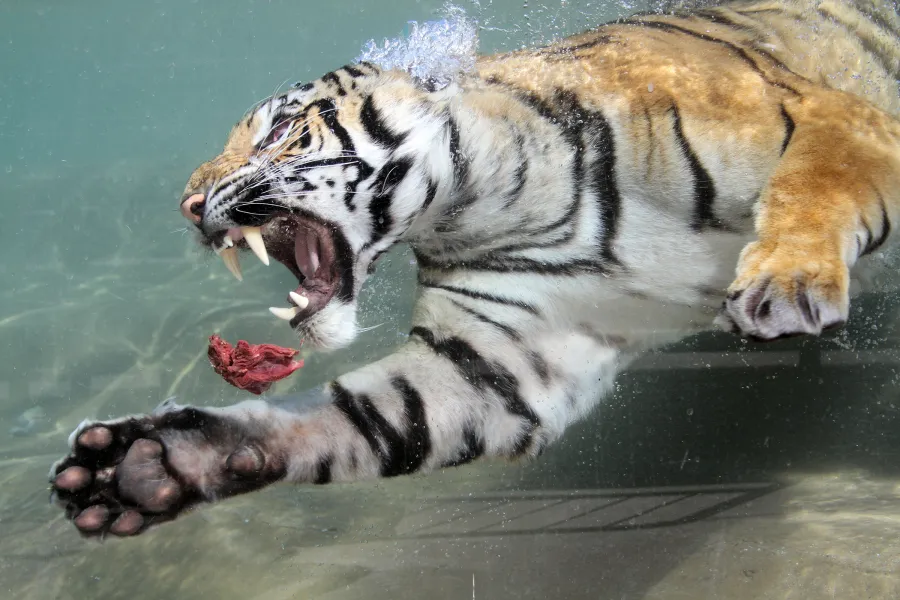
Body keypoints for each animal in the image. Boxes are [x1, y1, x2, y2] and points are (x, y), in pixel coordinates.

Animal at [50, 0, 900, 537]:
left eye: (280, 131)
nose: (189, 204)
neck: (492, 200)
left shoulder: (838, 117)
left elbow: (813, 184)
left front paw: (786, 282)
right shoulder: (495, 360)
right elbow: (355, 418)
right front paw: (148, 466)